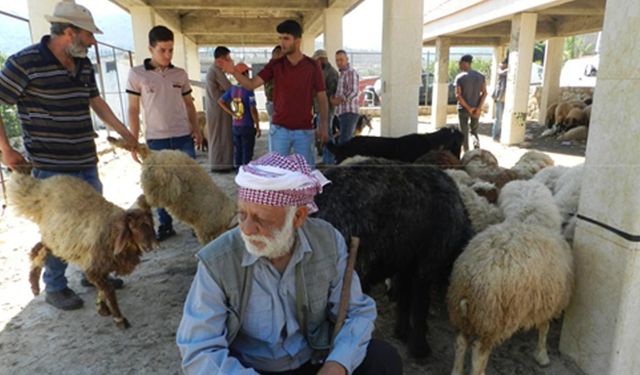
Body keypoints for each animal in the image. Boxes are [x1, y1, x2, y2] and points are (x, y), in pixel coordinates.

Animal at [9, 172, 157, 330]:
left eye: (150, 223)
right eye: (132, 227)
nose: (148, 246)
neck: (112, 229)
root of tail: (40, 186)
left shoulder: (101, 265)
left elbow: (104, 288)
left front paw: (101, 307)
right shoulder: (94, 266)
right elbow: (109, 289)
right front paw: (119, 319)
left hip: (57, 239)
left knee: (38, 249)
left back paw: (34, 285)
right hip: (56, 237)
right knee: (38, 251)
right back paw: (35, 284)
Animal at [312, 159, 472, 358]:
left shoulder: (405, 263)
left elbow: (404, 298)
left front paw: (402, 332)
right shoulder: (425, 265)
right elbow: (420, 306)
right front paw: (420, 348)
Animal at [444, 181, 576, 374]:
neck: (528, 219)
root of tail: (470, 282)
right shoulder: (550, 299)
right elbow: (544, 327)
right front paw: (542, 355)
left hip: (463, 314)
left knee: (460, 342)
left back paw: (456, 370)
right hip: (493, 320)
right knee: (478, 352)